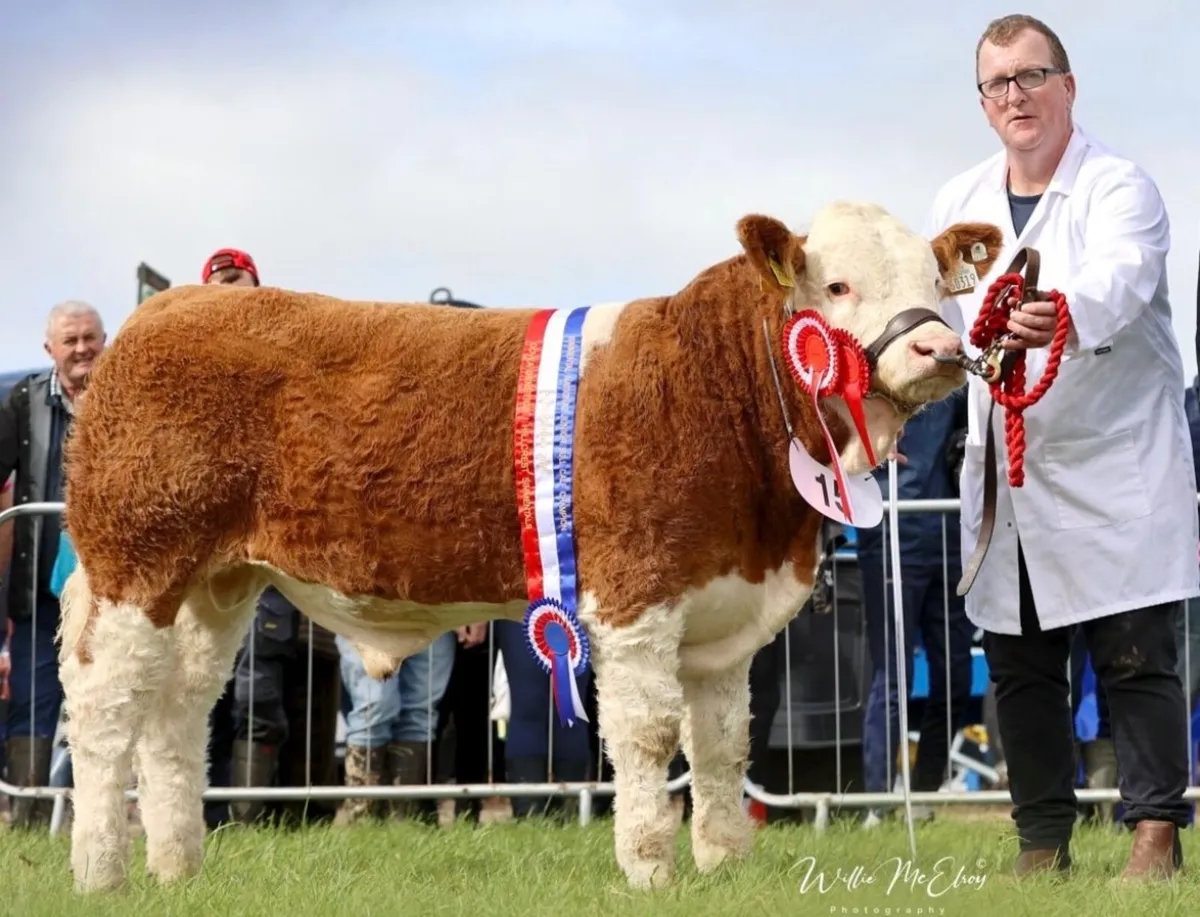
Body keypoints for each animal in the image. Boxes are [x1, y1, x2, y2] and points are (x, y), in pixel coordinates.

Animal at [55, 201, 1003, 893]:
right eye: (837, 285)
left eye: (937, 281)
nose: (939, 347)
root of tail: (170, 307)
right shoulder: (635, 594)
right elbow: (650, 734)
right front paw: (649, 868)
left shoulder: (722, 609)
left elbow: (723, 742)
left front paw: (725, 862)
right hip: (136, 558)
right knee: (106, 706)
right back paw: (101, 871)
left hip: (218, 581)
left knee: (177, 710)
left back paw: (178, 866)